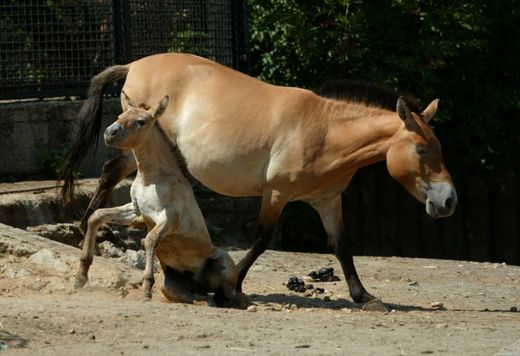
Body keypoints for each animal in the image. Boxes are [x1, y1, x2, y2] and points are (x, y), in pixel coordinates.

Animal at [61, 52, 458, 308]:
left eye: (438, 147)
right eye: (422, 150)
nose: (448, 200)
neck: (325, 131)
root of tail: (133, 64)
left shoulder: (327, 201)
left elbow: (342, 245)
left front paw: (365, 297)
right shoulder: (277, 194)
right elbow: (262, 240)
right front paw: (231, 288)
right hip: (138, 143)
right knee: (110, 170)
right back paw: (86, 233)